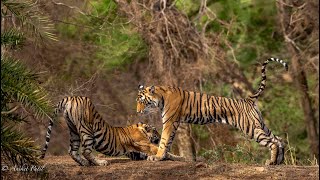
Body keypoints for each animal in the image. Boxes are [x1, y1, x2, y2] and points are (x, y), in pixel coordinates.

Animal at [40, 95, 184, 166]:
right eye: (155, 131)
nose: (159, 136)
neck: (141, 129)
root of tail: (71, 98)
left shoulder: (134, 153)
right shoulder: (146, 145)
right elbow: (163, 151)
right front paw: (180, 157)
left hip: (73, 129)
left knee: (72, 150)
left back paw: (85, 163)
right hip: (86, 130)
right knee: (85, 151)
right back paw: (101, 162)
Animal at [135, 57, 288, 165]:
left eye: (142, 101)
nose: (137, 112)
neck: (160, 97)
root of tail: (248, 99)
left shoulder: (169, 122)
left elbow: (164, 140)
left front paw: (157, 157)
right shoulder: (173, 123)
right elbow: (169, 141)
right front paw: (163, 157)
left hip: (250, 128)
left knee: (273, 142)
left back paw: (271, 162)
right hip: (260, 124)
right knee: (279, 140)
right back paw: (279, 162)